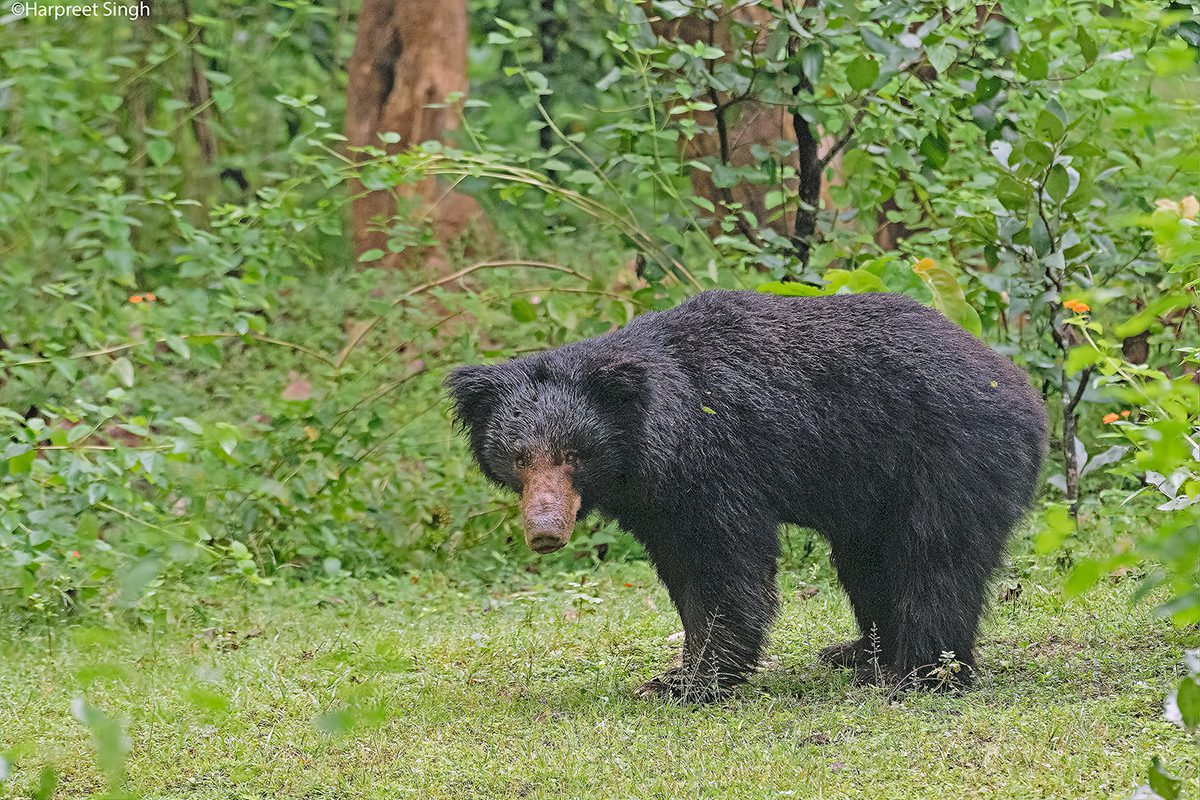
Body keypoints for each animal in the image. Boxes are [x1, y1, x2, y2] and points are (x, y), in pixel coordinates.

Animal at [446, 291, 1046, 705]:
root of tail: (1024, 392)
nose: (545, 531)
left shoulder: (720, 462)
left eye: (573, 454)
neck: (657, 439)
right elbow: (685, 574)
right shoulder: (658, 501)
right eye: (519, 457)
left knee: (934, 562)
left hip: (947, 461)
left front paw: (689, 684)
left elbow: (723, 568)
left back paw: (923, 676)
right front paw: (679, 672)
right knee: (869, 562)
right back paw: (859, 655)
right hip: (877, 492)